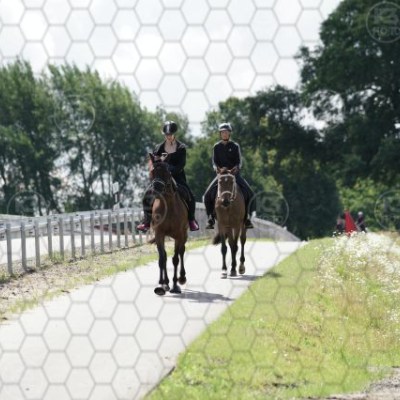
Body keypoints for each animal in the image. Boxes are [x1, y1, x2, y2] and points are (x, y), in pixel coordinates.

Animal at [148, 153, 188, 295]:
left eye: (167, 172)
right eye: (152, 171)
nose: (156, 189)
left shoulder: (179, 235)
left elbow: (175, 259)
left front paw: (175, 285)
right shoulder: (159, 234)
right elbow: (162, 258)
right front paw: (163, 284)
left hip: (184, 235)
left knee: (181, 252)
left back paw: (182, 278)